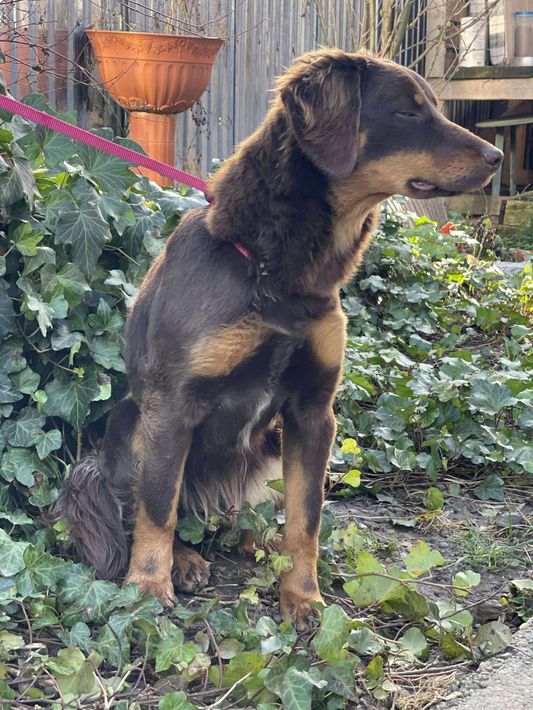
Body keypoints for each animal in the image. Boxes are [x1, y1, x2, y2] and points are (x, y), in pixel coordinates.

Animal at [55, 49, 502, 629]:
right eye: (407, 112)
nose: (496, 156)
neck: (274, 272)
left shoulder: (313, 411)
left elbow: (306, 518)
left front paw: (304, 597)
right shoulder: (172, 407)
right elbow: (158, 508)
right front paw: (148, 588)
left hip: (269, 446)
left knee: (248, 512)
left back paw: (258, 541)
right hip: (133, 425)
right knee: (157, 506)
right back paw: (184, 559)